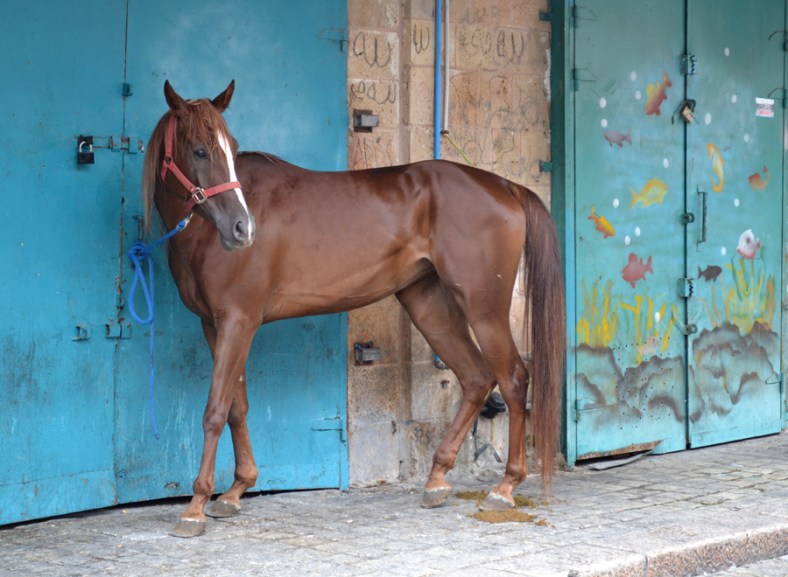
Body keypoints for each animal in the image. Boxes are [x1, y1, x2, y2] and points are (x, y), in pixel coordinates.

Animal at [141, 80, 566, 537]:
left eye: (230, 148)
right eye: (200, 150)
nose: (243, 229)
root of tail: (505, 185)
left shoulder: (239, 321)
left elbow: (215, 410)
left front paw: (196, 506)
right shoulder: (215, 325)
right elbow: (236, 405)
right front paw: (236, 491)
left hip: (483, 308)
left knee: (513, 380)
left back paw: (505, 487)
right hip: (428, 305)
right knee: (476, 378)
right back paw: (436, 479)